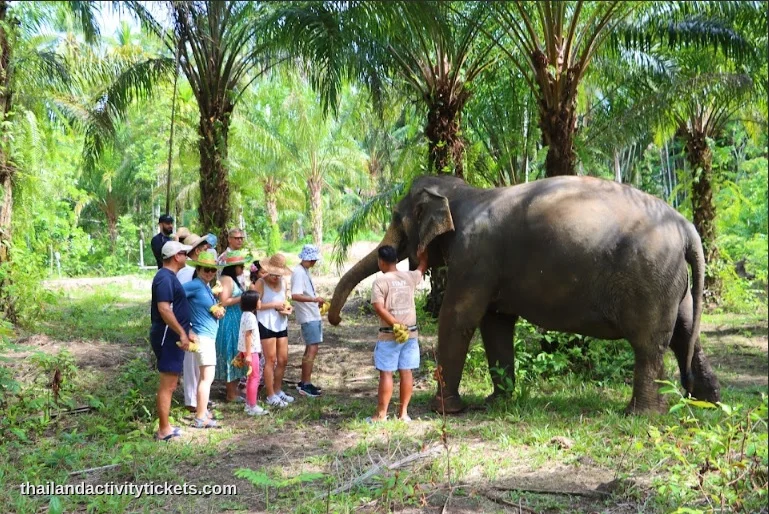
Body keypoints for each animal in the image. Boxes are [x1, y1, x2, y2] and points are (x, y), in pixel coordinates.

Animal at [329, 174, 721, 414]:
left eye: (397, 217)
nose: (335, 319)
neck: (465, 192)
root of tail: (686, 226)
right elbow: (495, 323)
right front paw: (497, 401)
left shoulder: (475, 257)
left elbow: (459, 318)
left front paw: (445, 410)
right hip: (673, 280)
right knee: (686, 332)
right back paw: (708, 402)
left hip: (649, 278)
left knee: (649, 343)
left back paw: (640, 413)